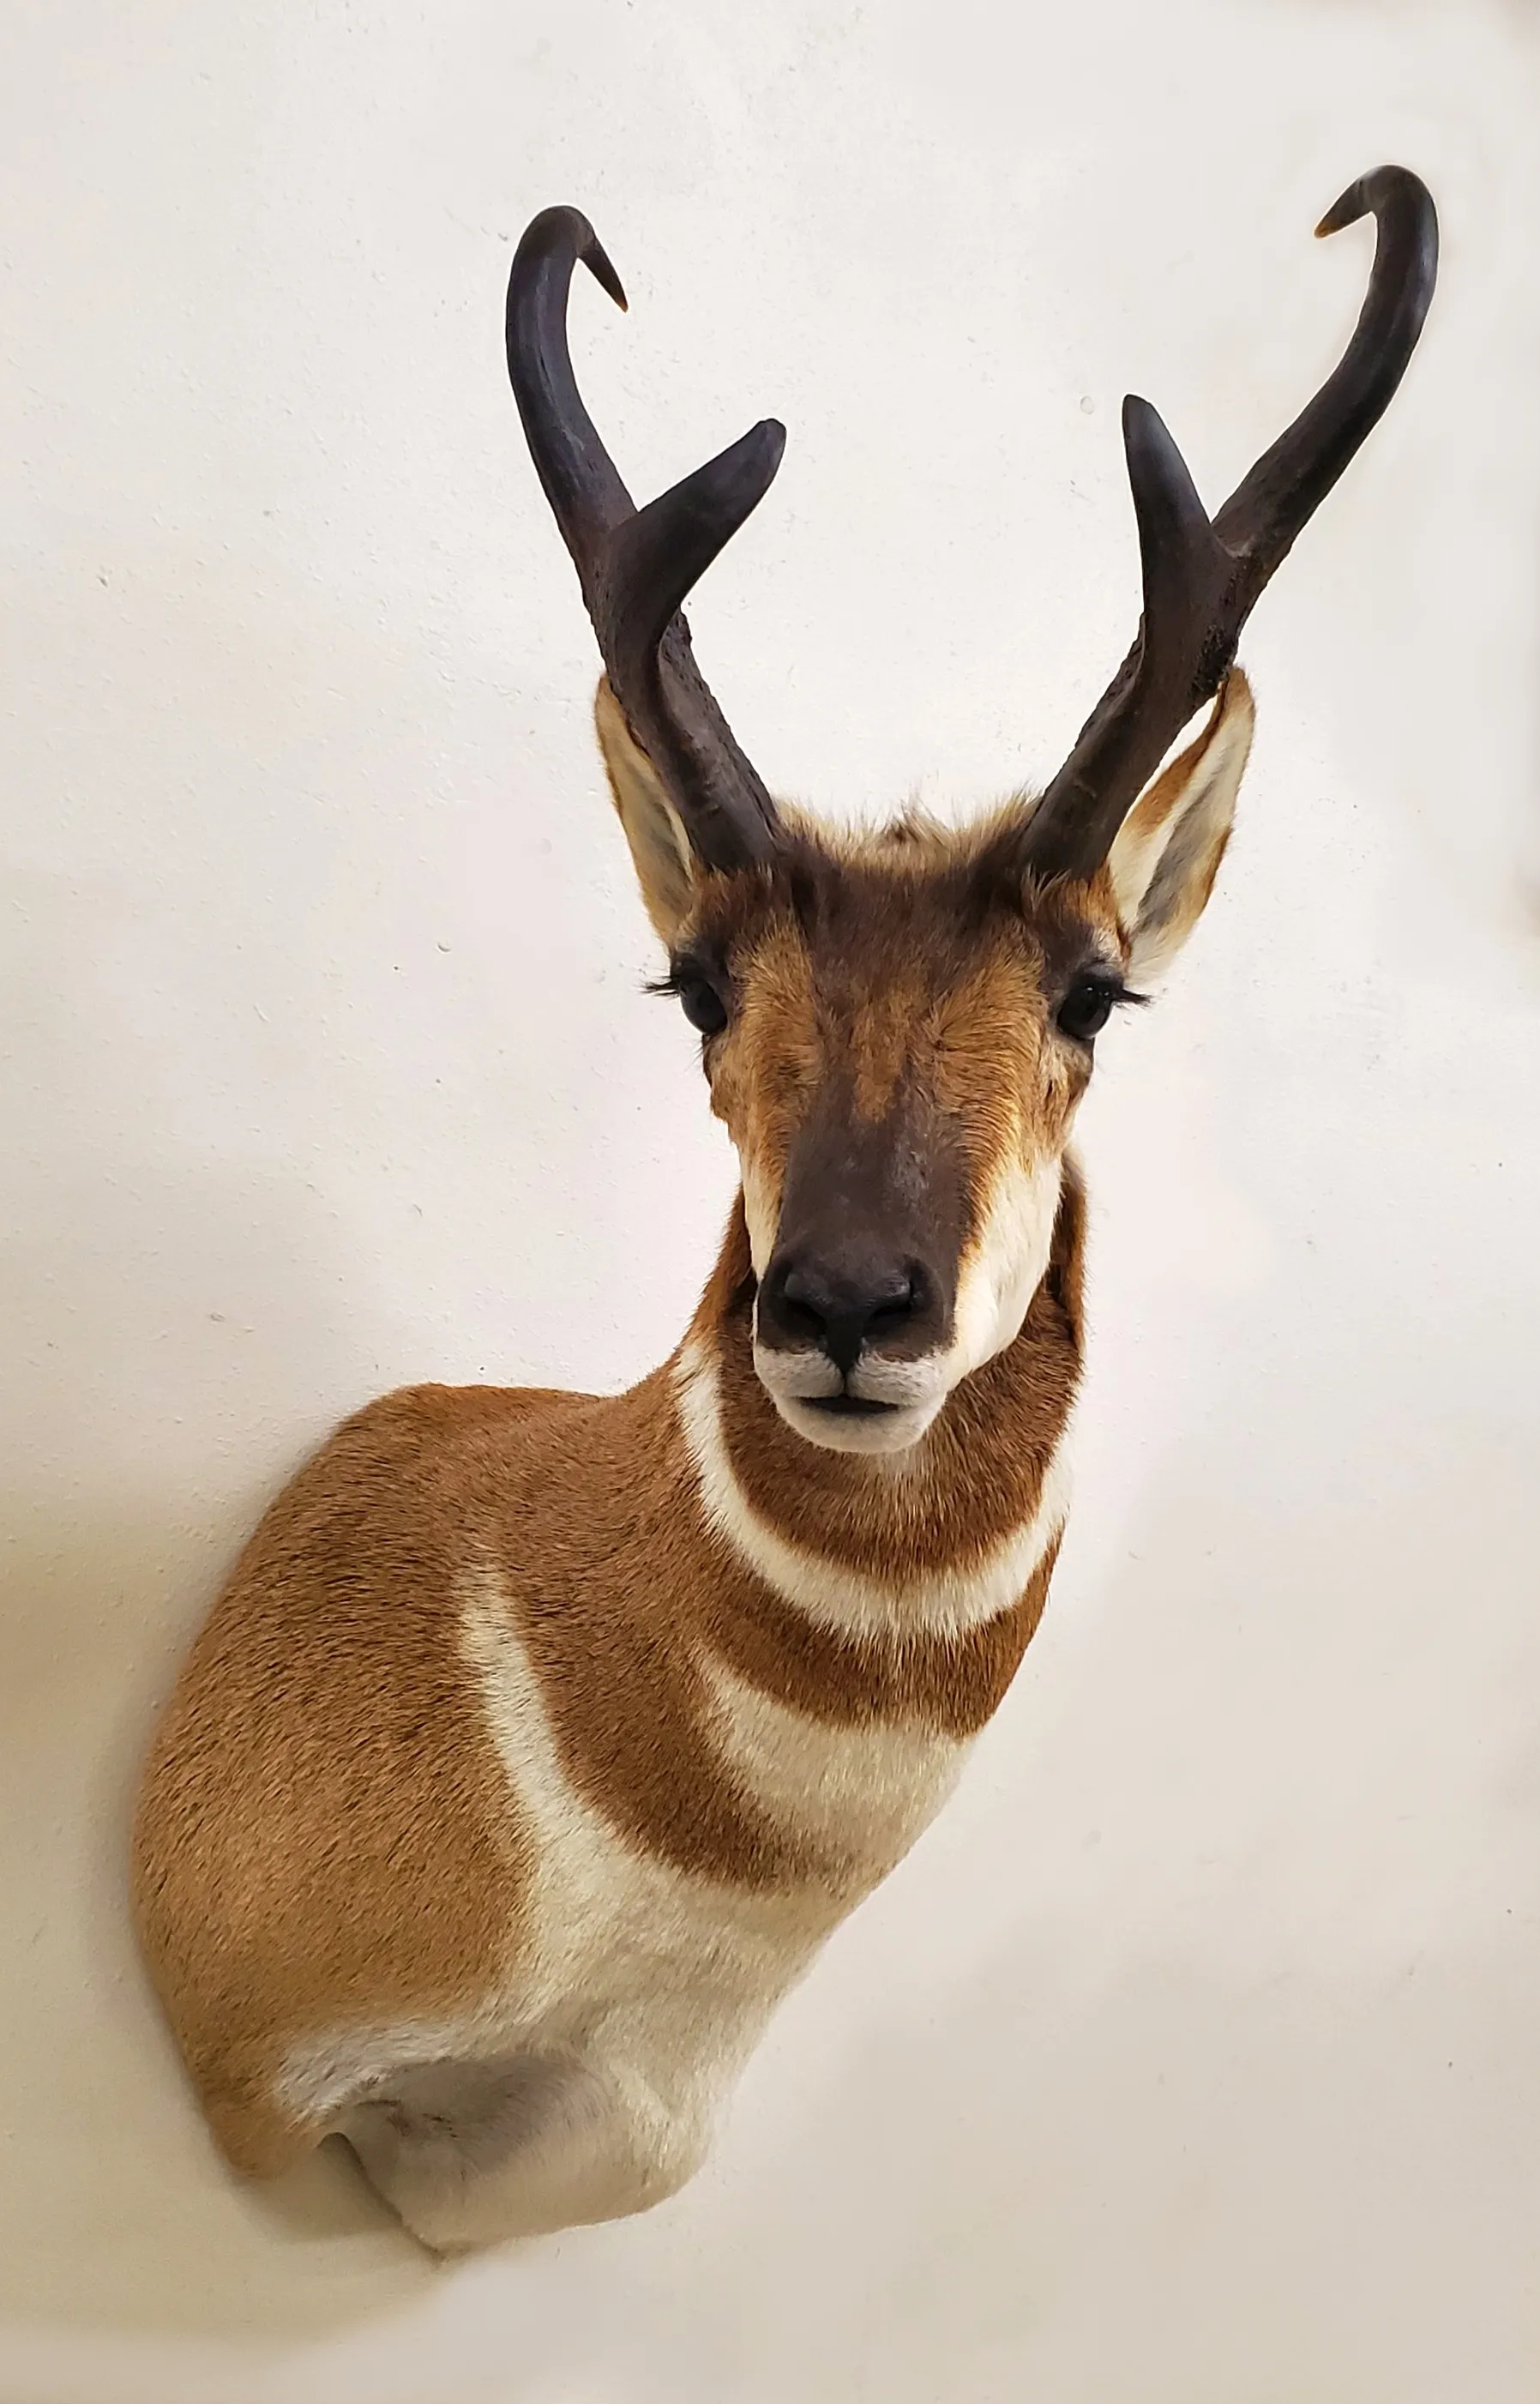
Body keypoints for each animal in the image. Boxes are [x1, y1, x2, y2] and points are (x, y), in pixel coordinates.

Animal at [132, 168, 1436, 2255]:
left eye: (1092, 992)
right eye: (698, 983)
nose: (840, 1304)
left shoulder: (643, 2098)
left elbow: (604, 2150)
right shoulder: (270, 2087)